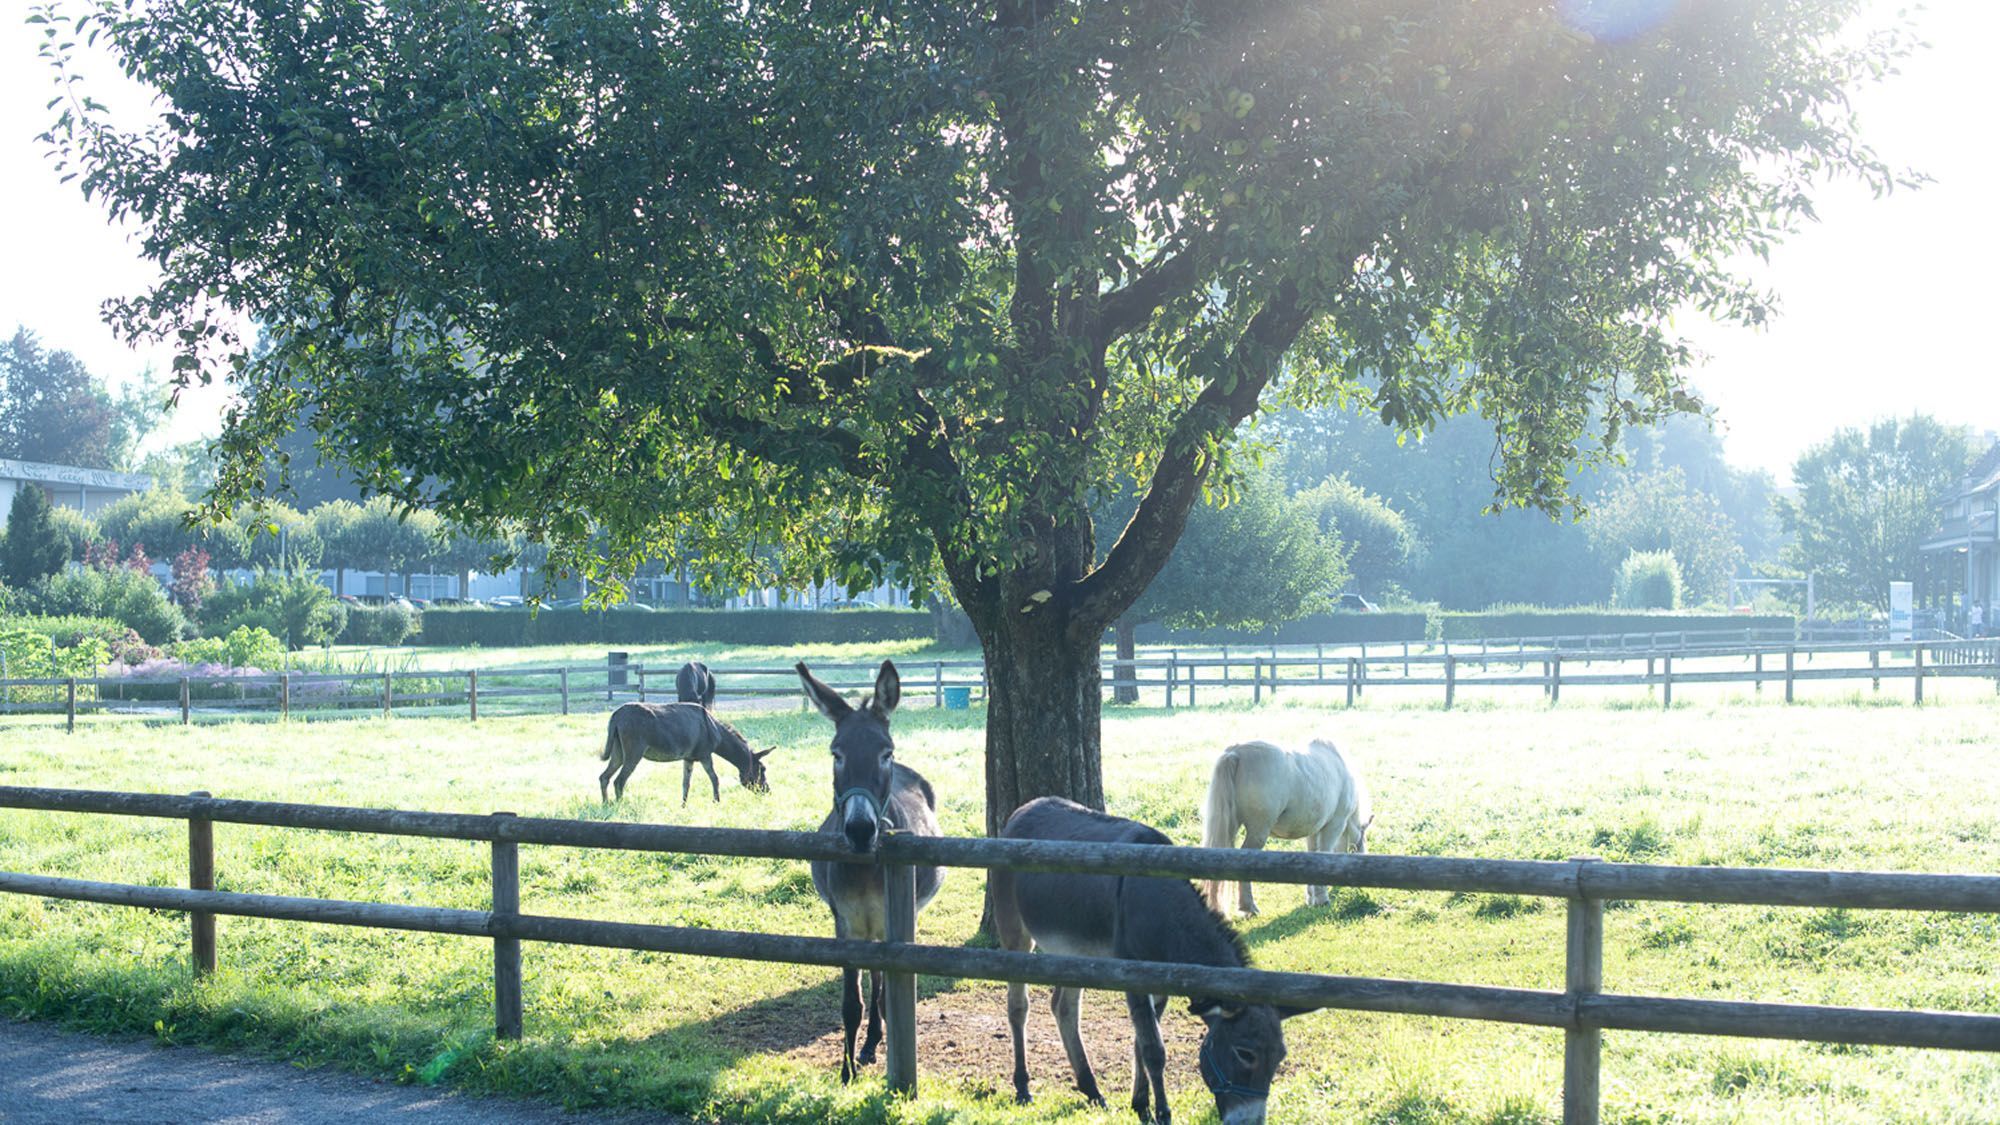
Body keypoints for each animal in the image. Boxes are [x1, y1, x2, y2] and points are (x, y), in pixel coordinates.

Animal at [1192, 736, 1368, 912]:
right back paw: (1249, 907)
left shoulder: (1314, 831)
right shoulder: (1334, 825)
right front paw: (1321, 900)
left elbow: (1313, 855)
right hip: (1258, 832)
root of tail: (1236, 752)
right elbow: (1324, 854)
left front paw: (1311, 898)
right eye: (1361, 843)